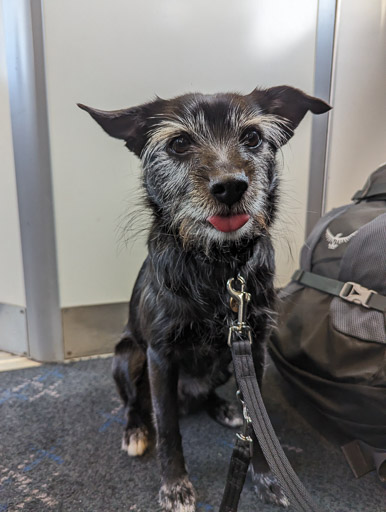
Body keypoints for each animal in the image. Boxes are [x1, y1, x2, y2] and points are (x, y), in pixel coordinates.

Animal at [77, 86, 328, 510]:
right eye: (179, 143)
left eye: (253, 137)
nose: (231, 186)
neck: (219, 266)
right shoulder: (160, 356)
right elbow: (168, 429)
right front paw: (175, 485)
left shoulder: (253, 347)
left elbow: (257, 425)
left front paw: (265, 477)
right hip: (127, 355)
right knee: (135, 404)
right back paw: (135, 430)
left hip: (226, 364)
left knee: (212, 394)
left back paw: (222, 407)